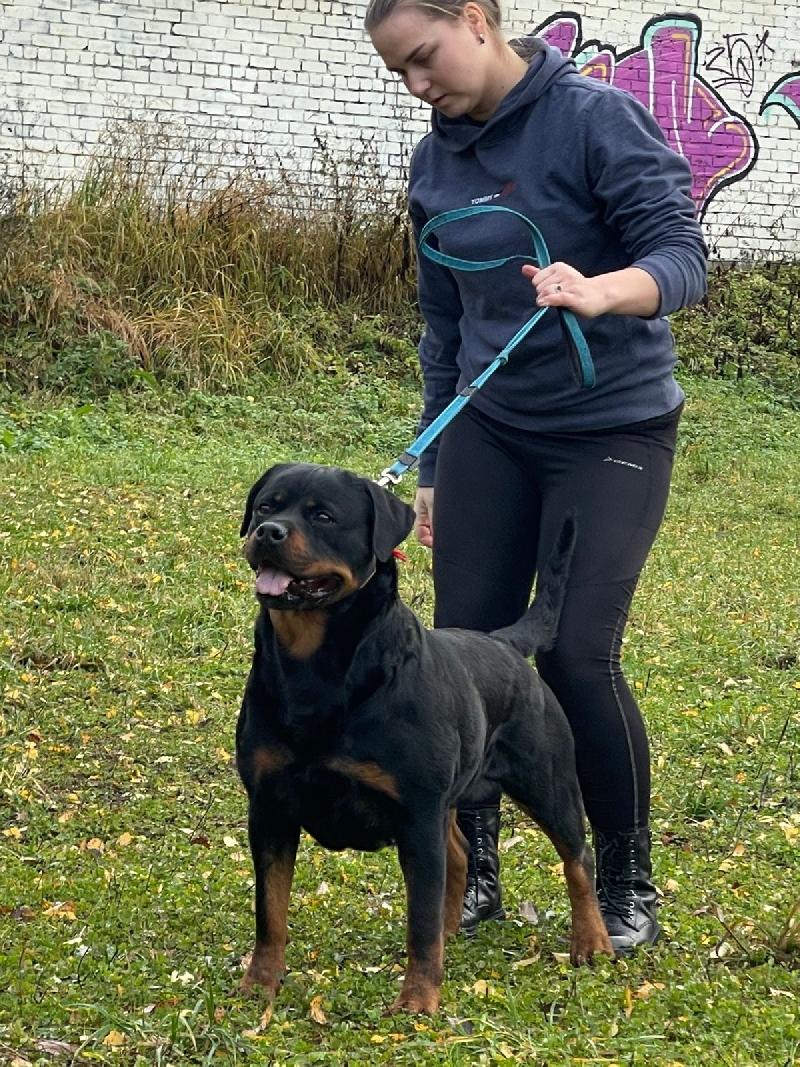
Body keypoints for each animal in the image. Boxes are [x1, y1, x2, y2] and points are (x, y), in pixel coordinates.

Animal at [236, 462, 613, 1016]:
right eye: (266, 506)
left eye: (323, 516)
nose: (268, 532)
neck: (317, 668)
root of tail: (505, 642)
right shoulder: (269, 808)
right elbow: (271, 912)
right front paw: (259, 985)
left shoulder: (416, 813)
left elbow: (419, 921)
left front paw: (417, 998)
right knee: (460, 853)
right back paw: (454, 930)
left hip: (546, 782)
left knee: (577, 857)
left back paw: (592, 941)